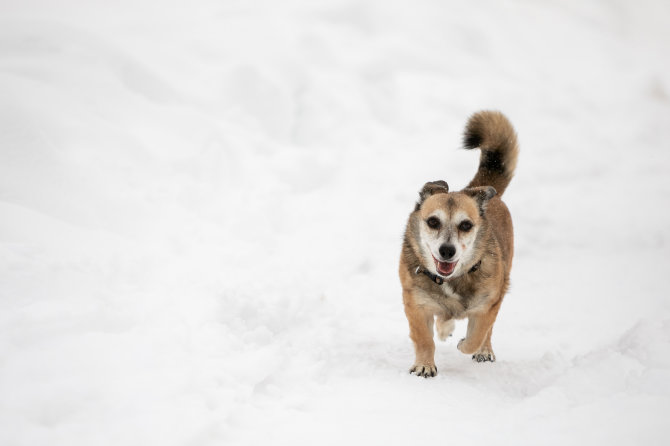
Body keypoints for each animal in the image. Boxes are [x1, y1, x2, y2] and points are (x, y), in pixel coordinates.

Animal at [400, 110, 520, 376]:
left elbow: (477, 334)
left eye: (465, 225)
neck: (451, 280)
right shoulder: (415, 302)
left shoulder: (490, 301)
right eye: (433, 221)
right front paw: (424, 366)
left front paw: (467, 344)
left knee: (486, 331)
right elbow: (424, 338)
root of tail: (473, 189)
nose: (447, 250)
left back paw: (483, 349)